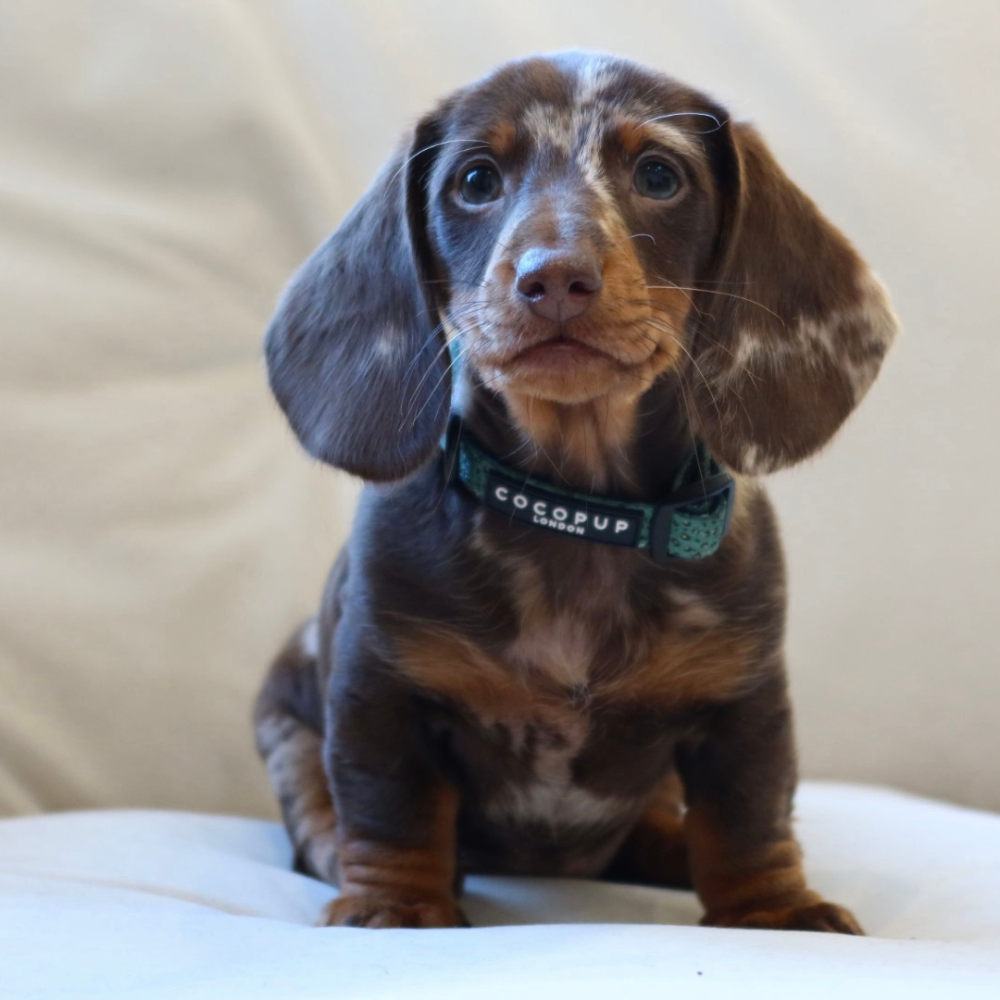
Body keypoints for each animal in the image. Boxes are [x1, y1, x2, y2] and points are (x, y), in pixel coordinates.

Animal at [252, 52, 900, 928]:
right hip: (282, 712)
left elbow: (750, 815)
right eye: (476, 179)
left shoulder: (747, 700)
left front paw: (775, 910)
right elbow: (390, 808)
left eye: (659, 174)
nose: (554, 277)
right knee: (317, 808)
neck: (579, 514)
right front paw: (398, 906)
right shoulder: (376, 689)